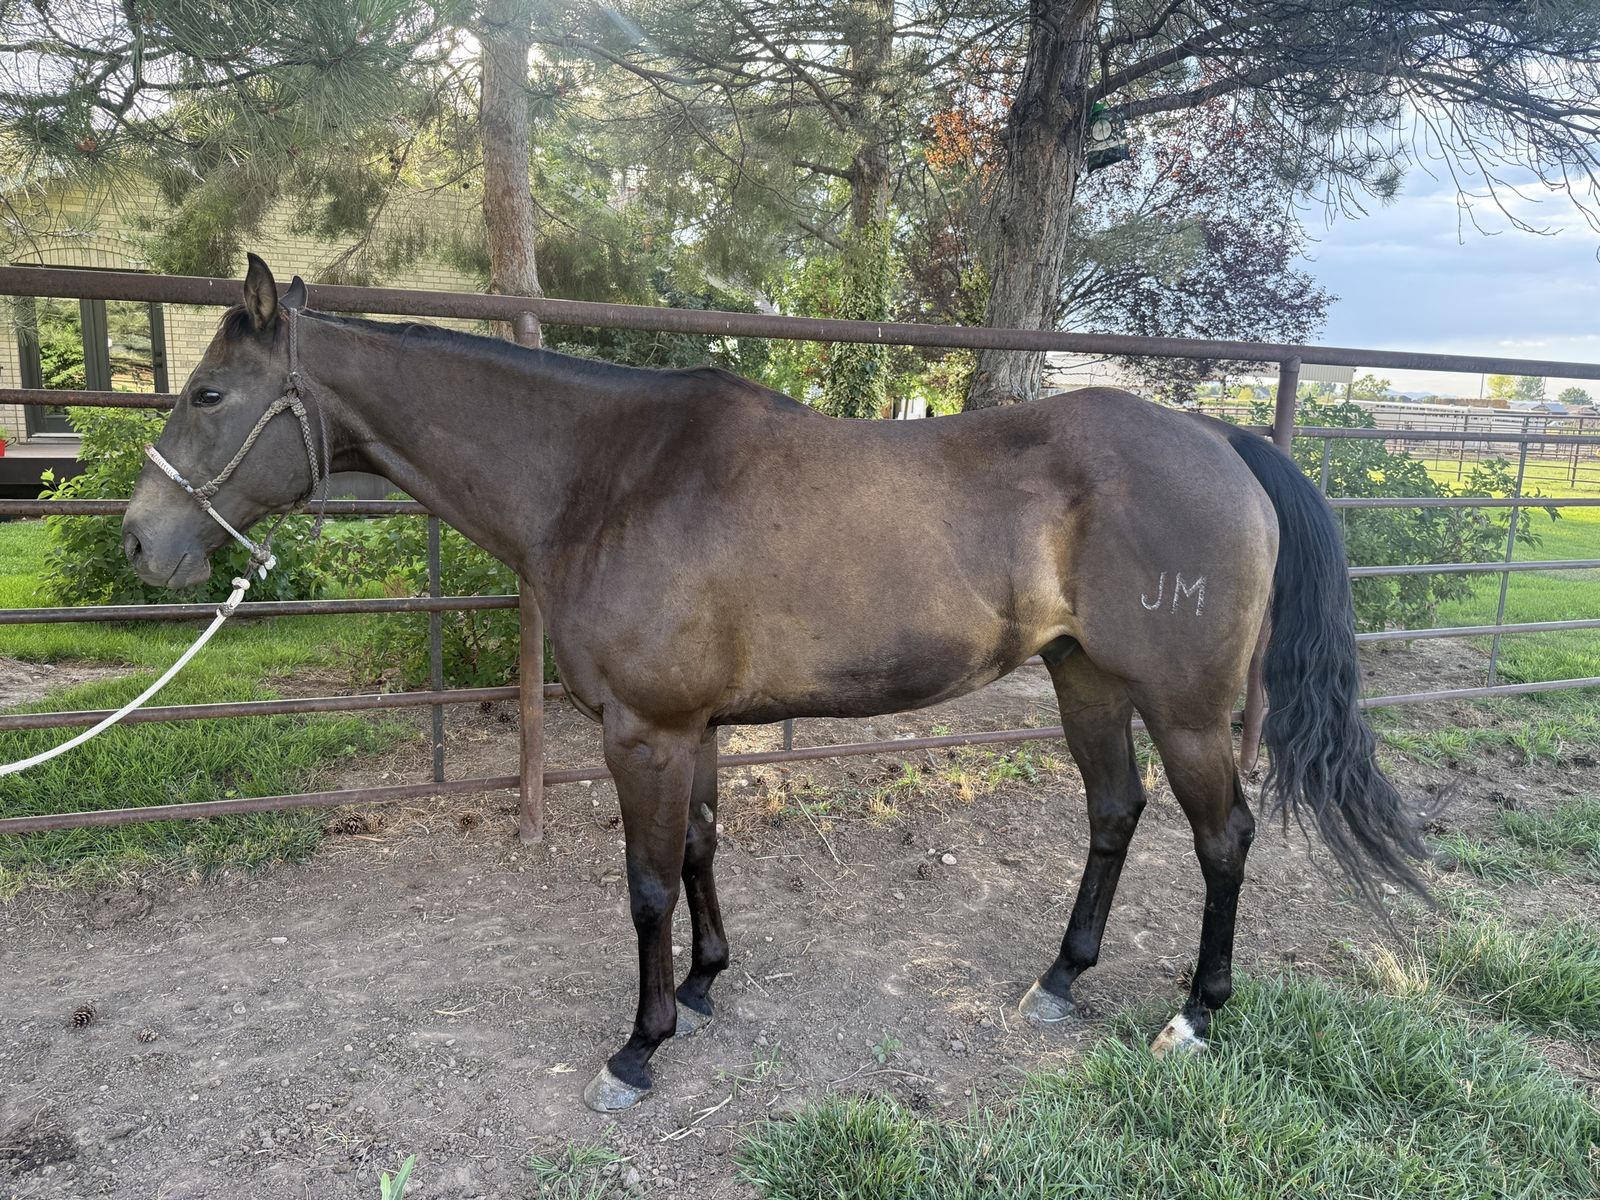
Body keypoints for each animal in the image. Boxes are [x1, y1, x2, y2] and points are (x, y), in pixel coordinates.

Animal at [121, 256, 1427, 1112]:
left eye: (208, 395)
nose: (141, 544)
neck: (605, 477)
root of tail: (1221, 440)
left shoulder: (643, 732)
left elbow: (647, 884)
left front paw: (639, 1047)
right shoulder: (689, 728)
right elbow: (700, 850)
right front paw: (704, 986)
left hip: (1190, 710)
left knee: (1225, 838)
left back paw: (1196, 1013)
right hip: (1086, 683)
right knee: (1115, 813)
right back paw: (1060, 980)